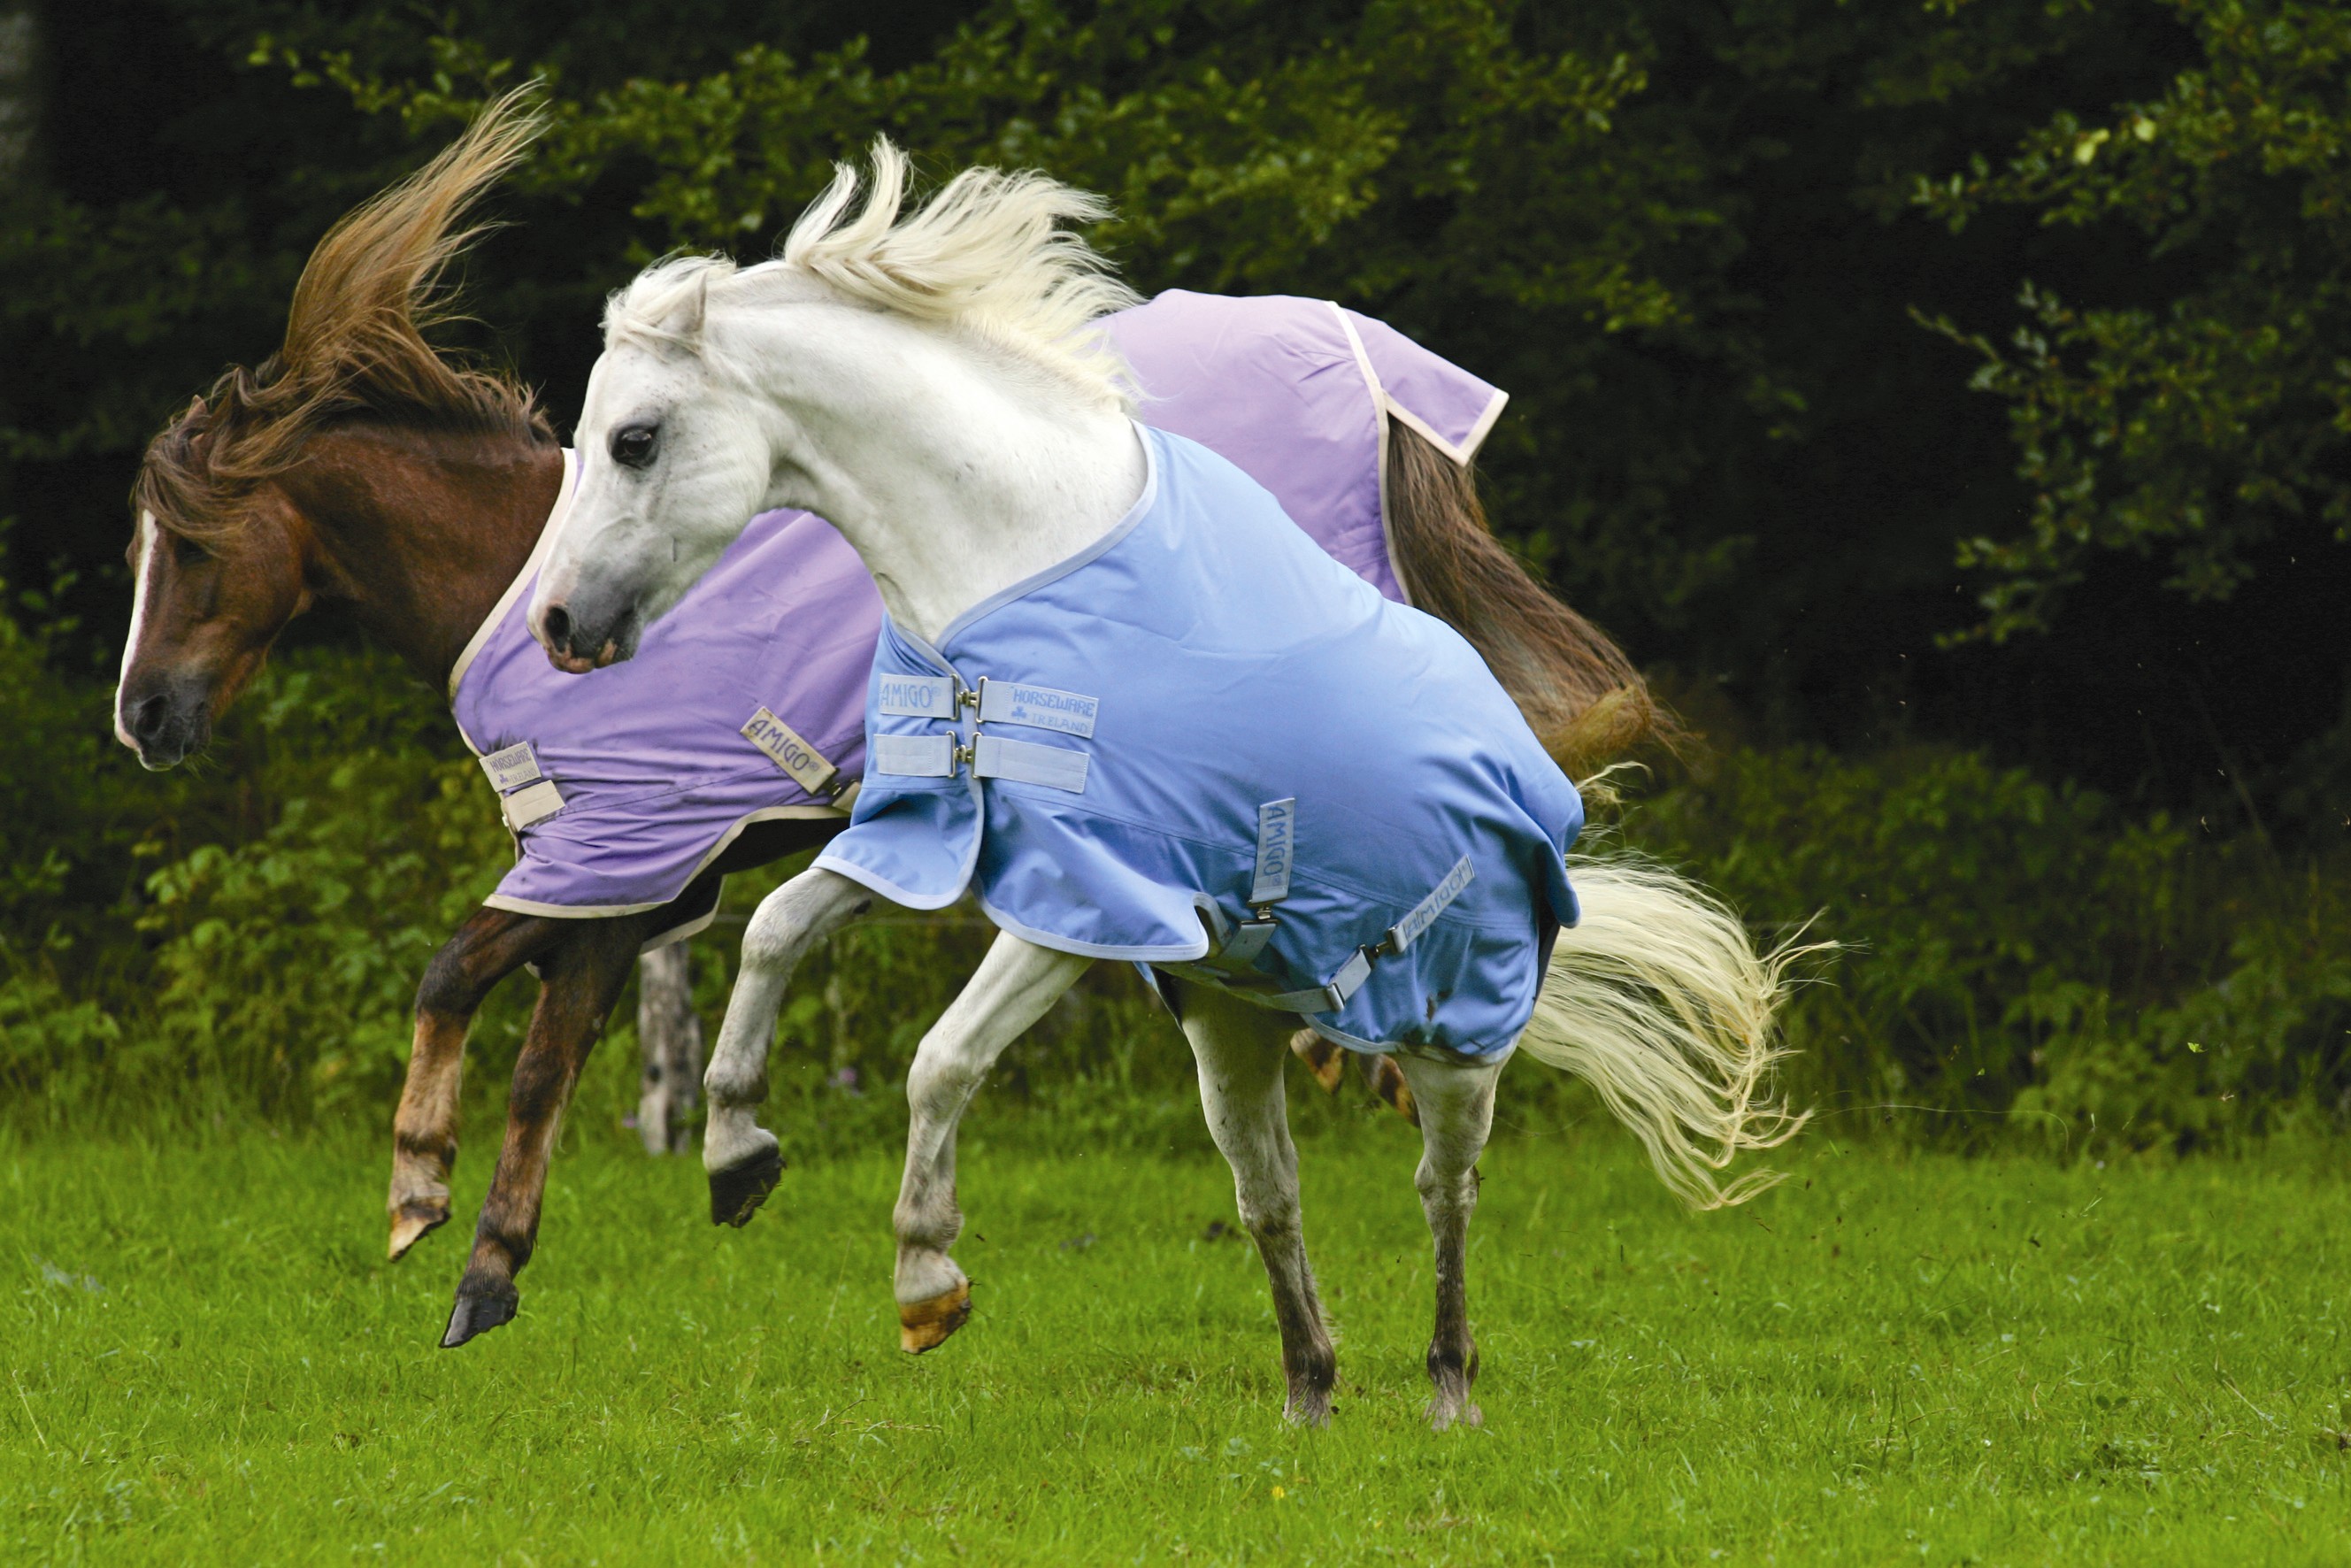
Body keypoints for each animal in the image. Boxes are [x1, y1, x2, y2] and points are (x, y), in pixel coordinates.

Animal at [119, 95, 1673, 1354]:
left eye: (188, 546)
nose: (143, 717)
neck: (511, 566)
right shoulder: (641, 883)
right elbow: (484, 985)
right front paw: (455, 1201)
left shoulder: (623, 872)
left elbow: (520, 1036)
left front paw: (474, 1254)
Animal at [534, 141, 1795, 1429]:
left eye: (635, 438)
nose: (560, 625)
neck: (1015, 556)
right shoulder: (934, 831)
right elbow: (777, 929)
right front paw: (736, 1152)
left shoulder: (1088, 901)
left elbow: (940, 1058)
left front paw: (926, 1275)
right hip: (1231, 1031)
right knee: (1271, 1196)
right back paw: (1306, 1395)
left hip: (1456, 1046)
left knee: (1444, 1192)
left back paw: (1448, 1390)